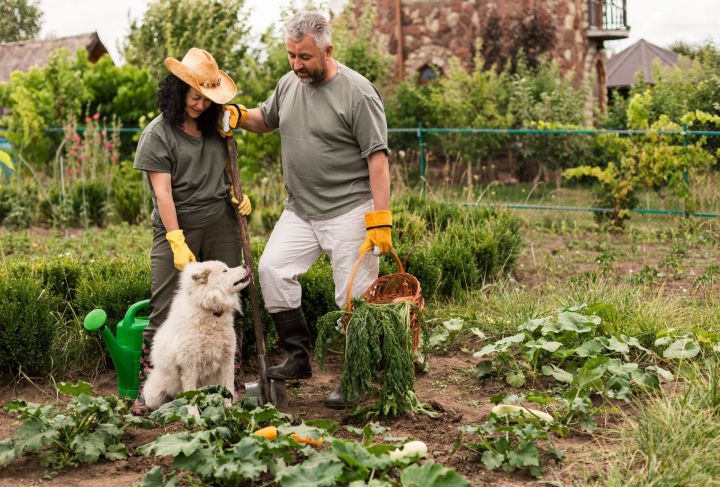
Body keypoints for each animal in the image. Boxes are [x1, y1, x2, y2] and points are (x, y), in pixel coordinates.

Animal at [143, 262, 250, 410]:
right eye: (225, 270)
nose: (246, 265)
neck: (210, 311)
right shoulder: (189, 366)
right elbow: (191, 396)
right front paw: (194, 415)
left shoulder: (227, 359)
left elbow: (228, 388)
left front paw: (229, 410)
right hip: (157, 393)